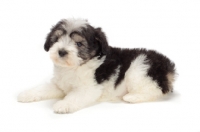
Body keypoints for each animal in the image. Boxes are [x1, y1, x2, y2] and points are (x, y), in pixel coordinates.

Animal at [18, 18, 176, 113]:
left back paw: (132, 97)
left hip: (139, 69)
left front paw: (63, 105)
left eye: (79, 44)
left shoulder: (89, 88)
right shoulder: (59, 85)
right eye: (56, 39)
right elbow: (42, 89)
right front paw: (26, 94)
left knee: (156, 90)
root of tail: (168, 67)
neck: (76, 66)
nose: (61, 51)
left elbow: (74, 96)